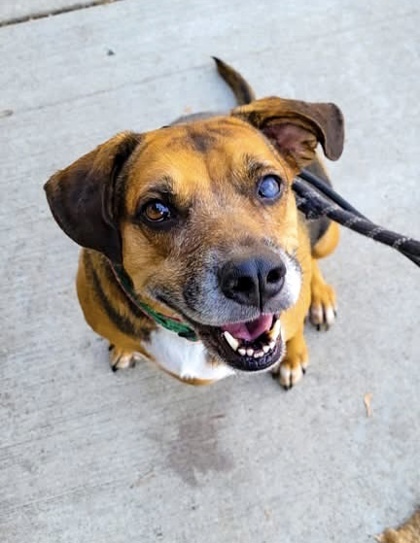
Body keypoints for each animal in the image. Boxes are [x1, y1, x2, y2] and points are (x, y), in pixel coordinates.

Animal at [43, 58, 344, 386]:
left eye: (269, 185)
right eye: (156, 210)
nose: (256, 277)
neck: (189, 336)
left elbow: (293, 328)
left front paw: (294, 355)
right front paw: (123, 350)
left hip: (328, 235)